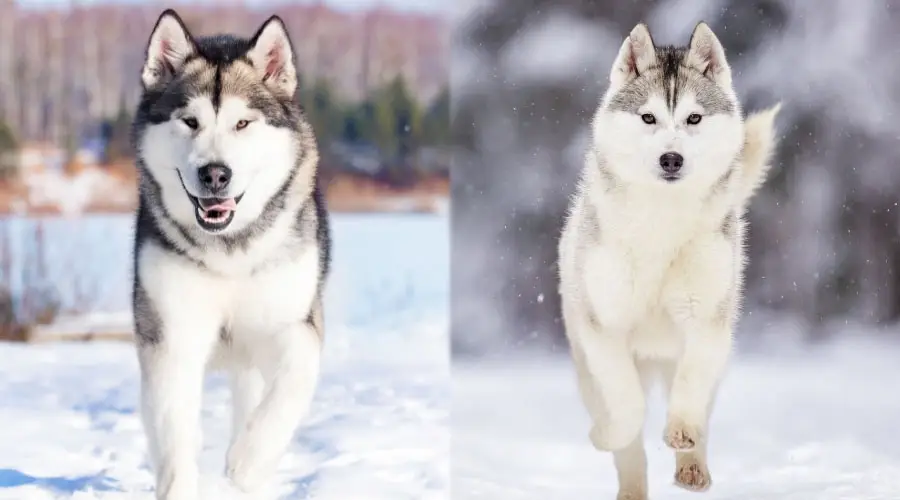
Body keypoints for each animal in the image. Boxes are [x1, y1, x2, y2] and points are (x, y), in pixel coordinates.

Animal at [560, 21, 776, 498]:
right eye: (648, 118)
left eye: (694, 118)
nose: (671, 158)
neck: (663, 221)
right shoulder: (604, 328)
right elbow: (627, 405)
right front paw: (608, 435)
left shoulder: (708, 322)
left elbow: (690, 384)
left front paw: (682, 435)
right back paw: (629, 483)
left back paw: (692, 466)